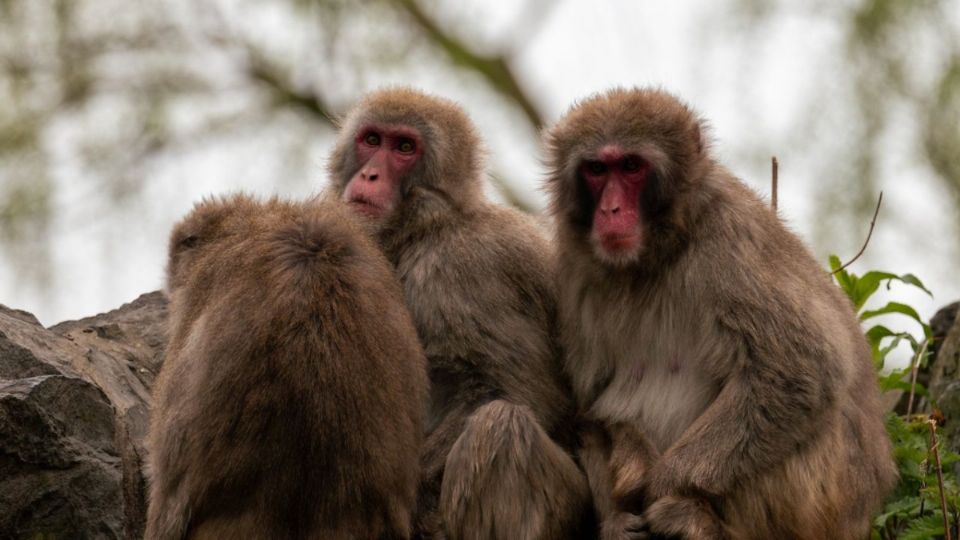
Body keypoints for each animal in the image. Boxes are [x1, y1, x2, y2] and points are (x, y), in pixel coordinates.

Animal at [326, 86, 588, 536]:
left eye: (405, 148)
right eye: (372, 140)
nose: (370, 176)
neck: (427, 227)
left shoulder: (462, 273)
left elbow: (518, 391)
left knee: (501, 428)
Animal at [544, 89, 896, 540]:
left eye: (631, 166)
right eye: (596, 170)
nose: (611, 210)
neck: (654, 258)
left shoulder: (729, 240)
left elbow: (801, 372)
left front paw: (660, 486)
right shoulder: (573, 272)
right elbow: (589, 409)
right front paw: (618, 512)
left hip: (826, 504)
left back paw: (701, 523)